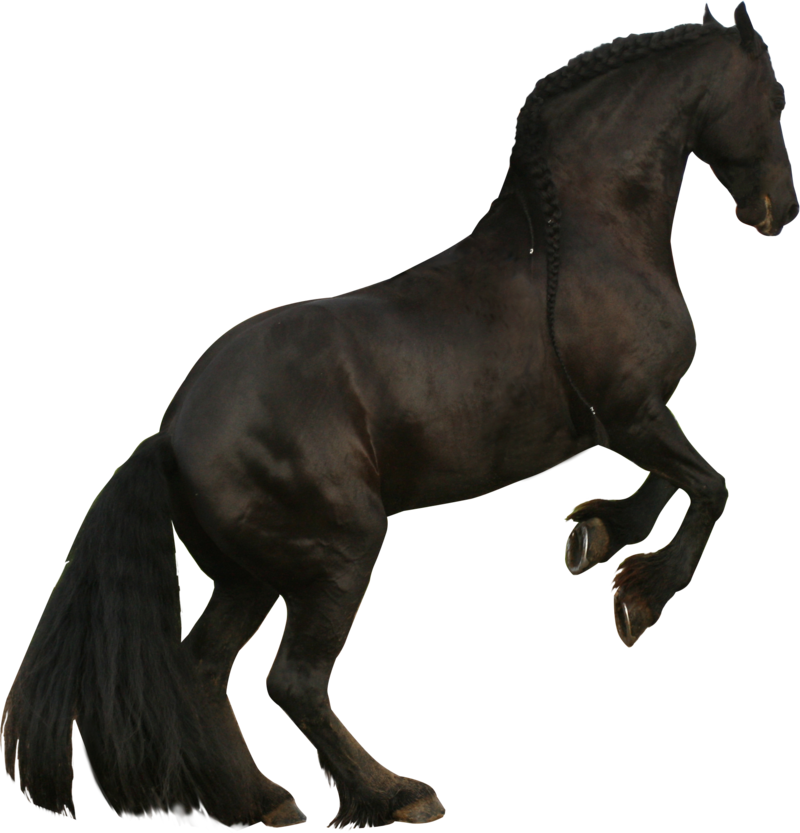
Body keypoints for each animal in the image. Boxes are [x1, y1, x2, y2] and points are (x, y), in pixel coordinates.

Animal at [2, 2, 796, 830]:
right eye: (775, 101)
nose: (779, 210)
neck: (582, 236)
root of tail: (172, 433)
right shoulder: (631, 413)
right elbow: (713, 485)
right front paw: (641, 597)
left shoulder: (633, 417)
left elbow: (672, 481)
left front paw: (595, 536)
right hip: (340, 551)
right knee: (292, 681)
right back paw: (393, 793)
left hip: (248, 578)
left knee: (203, 671)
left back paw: (260, 799)